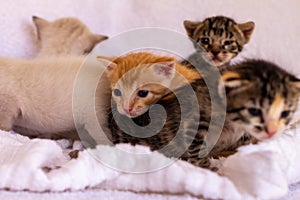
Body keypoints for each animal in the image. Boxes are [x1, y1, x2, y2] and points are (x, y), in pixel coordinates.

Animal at [108, 58, 300, 168]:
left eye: (285, 113)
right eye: (254, 111)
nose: (272, 131)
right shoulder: (193, 120)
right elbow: (198, 146)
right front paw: (210, 168)